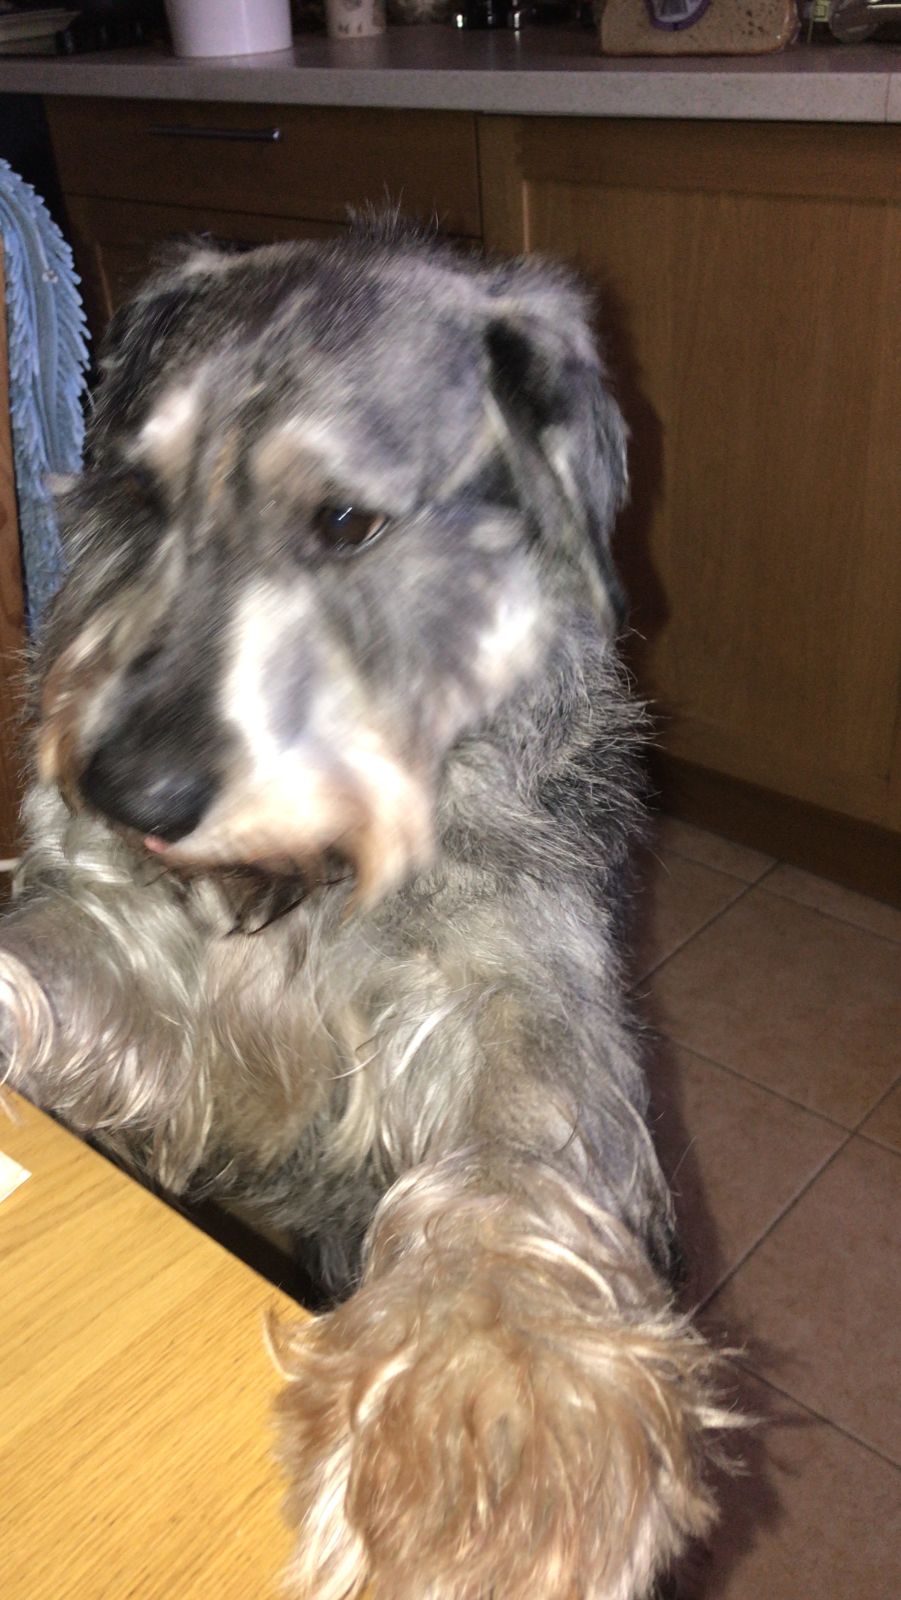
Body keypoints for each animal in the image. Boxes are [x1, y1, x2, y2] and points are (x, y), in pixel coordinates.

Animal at [0, 223, 728, 1600]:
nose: (127, 792)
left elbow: (510, 1165)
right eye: (143, 495)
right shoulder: (165, 994)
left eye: (344, 521)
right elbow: (58, 954)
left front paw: (492, 1399)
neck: (311, 893)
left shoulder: (518, 998)